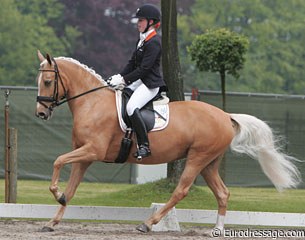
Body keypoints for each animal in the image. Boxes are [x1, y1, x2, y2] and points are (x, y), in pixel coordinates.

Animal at [35, 51, 300, 233]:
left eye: (47, 82)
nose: (41, 114)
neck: (92, 103)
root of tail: (225, 115)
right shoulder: (84, 155)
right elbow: (71, 188)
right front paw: (53, 220)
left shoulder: (92, 151)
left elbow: (58, 161)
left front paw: (55, 193)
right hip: (209, 163)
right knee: (223, 193)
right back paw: (217, 230)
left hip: (197, 158)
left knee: (181, 190)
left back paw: (148, 223)